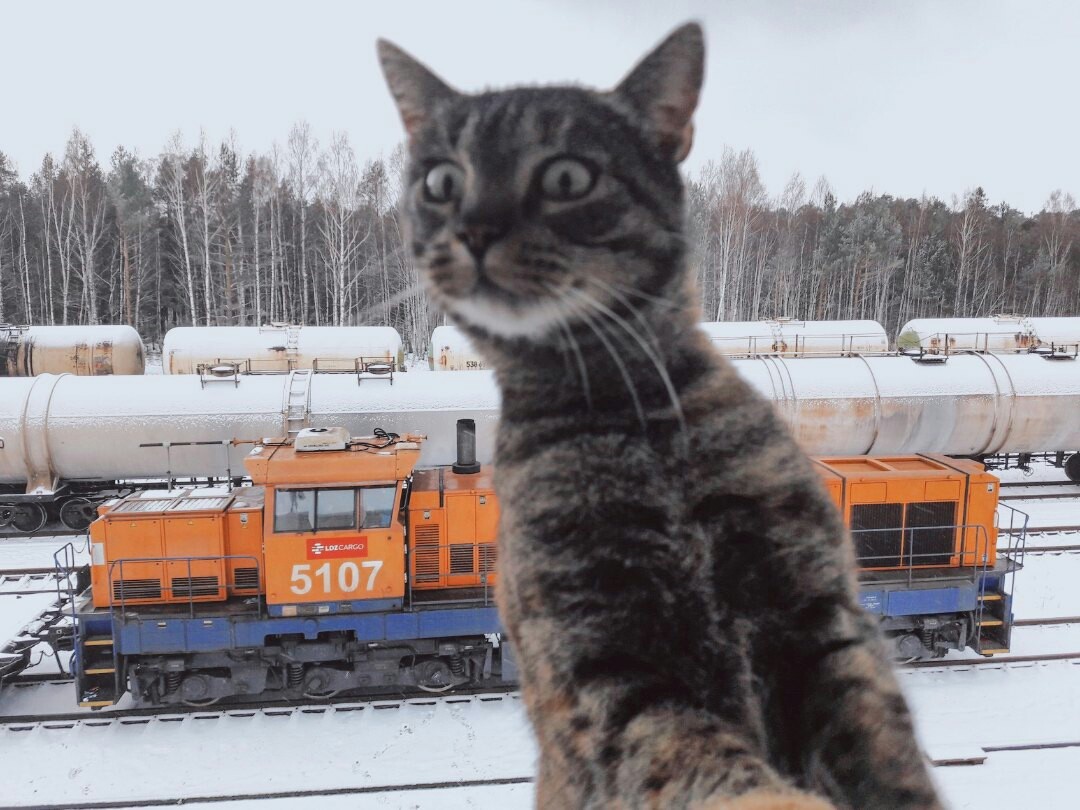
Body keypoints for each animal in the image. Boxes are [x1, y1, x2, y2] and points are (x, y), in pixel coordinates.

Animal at [380, 22, 946, 807]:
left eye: (567, 178)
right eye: (441, 183)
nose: (475, 228)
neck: (635, 406)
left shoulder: (817, 619)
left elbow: (880, 739)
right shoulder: (607, 670)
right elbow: (706, 764)